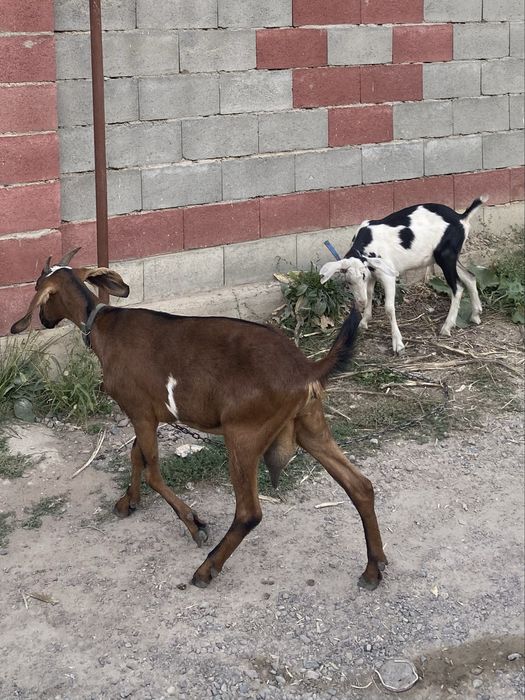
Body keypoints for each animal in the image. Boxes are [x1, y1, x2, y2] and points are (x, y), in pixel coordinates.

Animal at [11, 249, 387, 590]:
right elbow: (136, 456)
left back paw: (207, 569)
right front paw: (127, 502)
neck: (103, 325)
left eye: (39, 290)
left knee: (249, 512)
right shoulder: (148, 415)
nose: (43, 319)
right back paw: (373, 569)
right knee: (360, 485)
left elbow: (152, 471)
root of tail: (307, 369)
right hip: (310, 424)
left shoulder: (140, 411)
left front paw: (195, 524)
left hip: (245, 434)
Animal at [320, 198, 485, 354]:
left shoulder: (387, 275)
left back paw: (447, 326)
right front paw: (364, 322)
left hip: (446, 255)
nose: (360, 301)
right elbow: (370, 294)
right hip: (450, 256)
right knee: (470, 277)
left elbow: (388, 308)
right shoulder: (373, 273)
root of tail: (461, 217)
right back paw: (476, 315)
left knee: (457, 287)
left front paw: (398, 344)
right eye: (348, 281)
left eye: (363, 276)